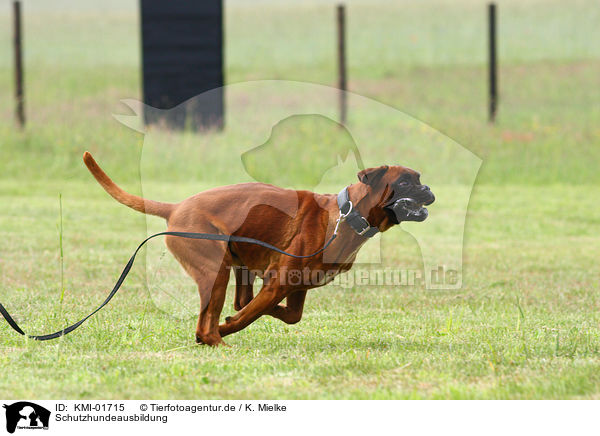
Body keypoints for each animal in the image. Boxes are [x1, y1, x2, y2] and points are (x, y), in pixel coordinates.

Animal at [82, 152, 434, 346]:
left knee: (231, 305)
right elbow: (249, 315)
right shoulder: (277, 282)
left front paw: (241, 314)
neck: (346, 216)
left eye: (420, 179)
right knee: (206, 324)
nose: (429, 188)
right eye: (406, 182)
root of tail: (177, 207)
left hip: (232, 264)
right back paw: (219, 341)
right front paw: (230, 324)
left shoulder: (295, 287)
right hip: (216, 273)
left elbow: (286, 315)